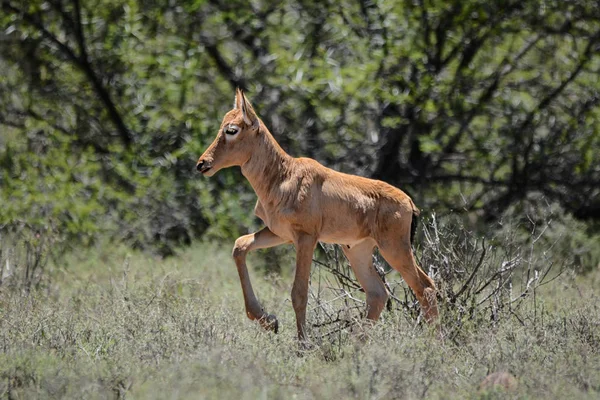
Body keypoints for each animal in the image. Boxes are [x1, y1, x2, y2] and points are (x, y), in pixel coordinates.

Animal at [199, 88, 438, 340]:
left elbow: (299, 292)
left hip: (394, 248)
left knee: (426, 288)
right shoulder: (280, 234)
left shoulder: (306, 238)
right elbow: (240, 246)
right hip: (358, 250)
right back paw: (354, 345)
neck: (285, 174)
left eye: (231, 130)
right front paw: (269, 321)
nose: (202, 164)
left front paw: (302, 344)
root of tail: (409, 203)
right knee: (377, 293)